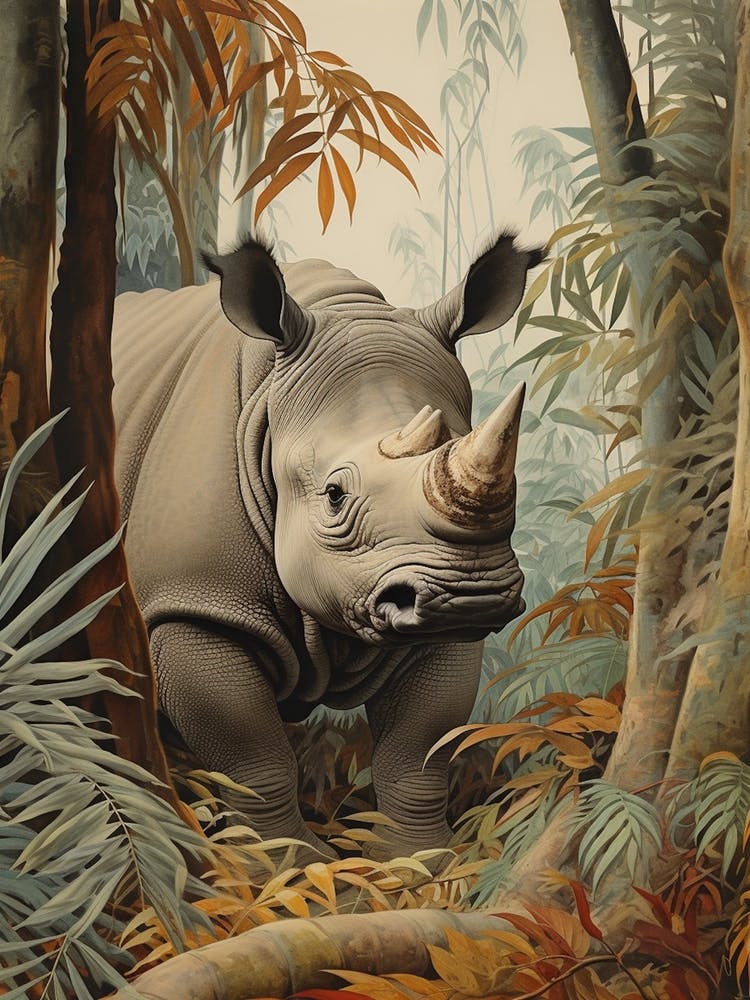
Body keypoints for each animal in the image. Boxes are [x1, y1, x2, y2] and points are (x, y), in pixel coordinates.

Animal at [111, 232, 542, 861]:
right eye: (334, 496)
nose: (472, 595)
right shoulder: (195, 602)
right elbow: (252, 753)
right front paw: (285, 866)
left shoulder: (434, 609)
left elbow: (420, 748)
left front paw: (419, 861)